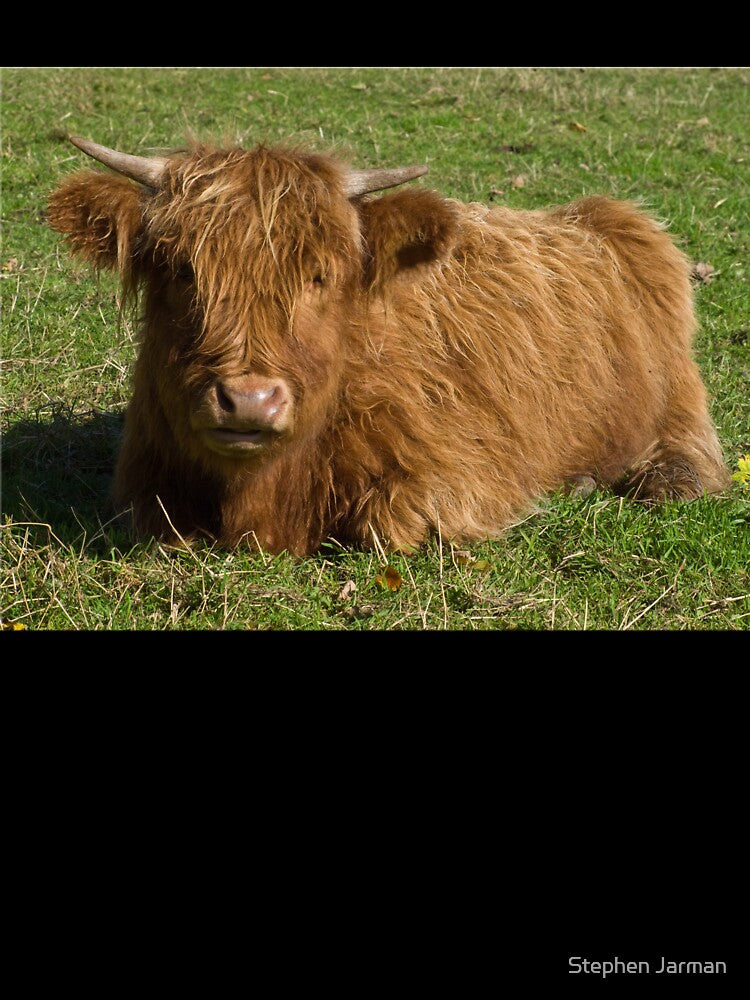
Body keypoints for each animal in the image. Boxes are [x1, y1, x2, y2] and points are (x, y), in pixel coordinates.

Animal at [47, 135, 730, 555]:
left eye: (320, 275)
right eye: (180, 270)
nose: (248, 401)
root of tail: (597, 217)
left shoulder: (461, 476)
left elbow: (391, 524)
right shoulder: (144, 483)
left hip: (677, 406)